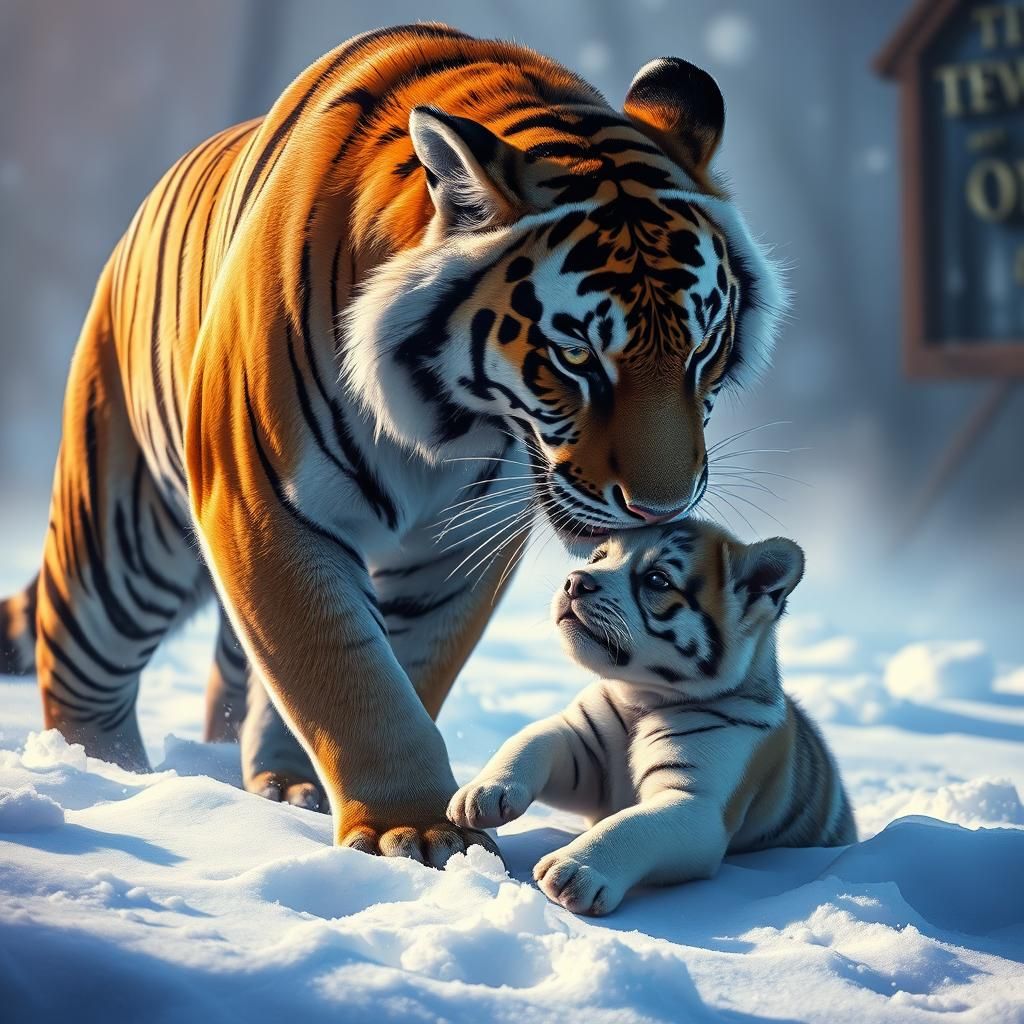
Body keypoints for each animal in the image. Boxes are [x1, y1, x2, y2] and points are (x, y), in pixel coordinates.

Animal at [0, 24, 785, 863]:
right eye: (577, 356)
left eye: (701, 349)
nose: (660, 509)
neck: (447, 423)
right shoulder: (260, 504)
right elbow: (349, 672)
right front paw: (416, 830)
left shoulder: (458, 547)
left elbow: (403, 665)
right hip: (122, 544)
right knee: (80, 671)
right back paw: (114, 783)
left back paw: (283, 785)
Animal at [448, 519, 855, 913]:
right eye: (598, 558)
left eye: (657, 579)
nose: (575, 580)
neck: (642, 699)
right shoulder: (582, 751)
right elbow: (532, 738)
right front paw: (481, 793)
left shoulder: (697, 803)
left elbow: (633, 824)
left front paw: (574, 870)